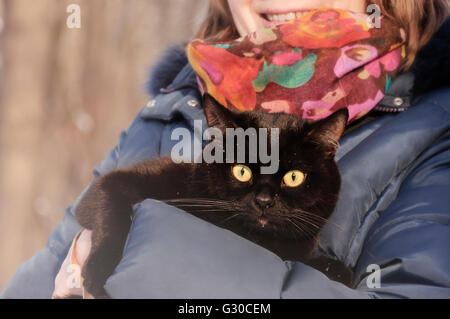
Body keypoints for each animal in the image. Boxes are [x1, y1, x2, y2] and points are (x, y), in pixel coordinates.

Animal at [74, 94, 352, 298]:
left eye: (294, 177)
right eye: (242, 171)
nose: (264, 201)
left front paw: (336, 269)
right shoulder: (112, 184)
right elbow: (112, 209)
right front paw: (99, 272)